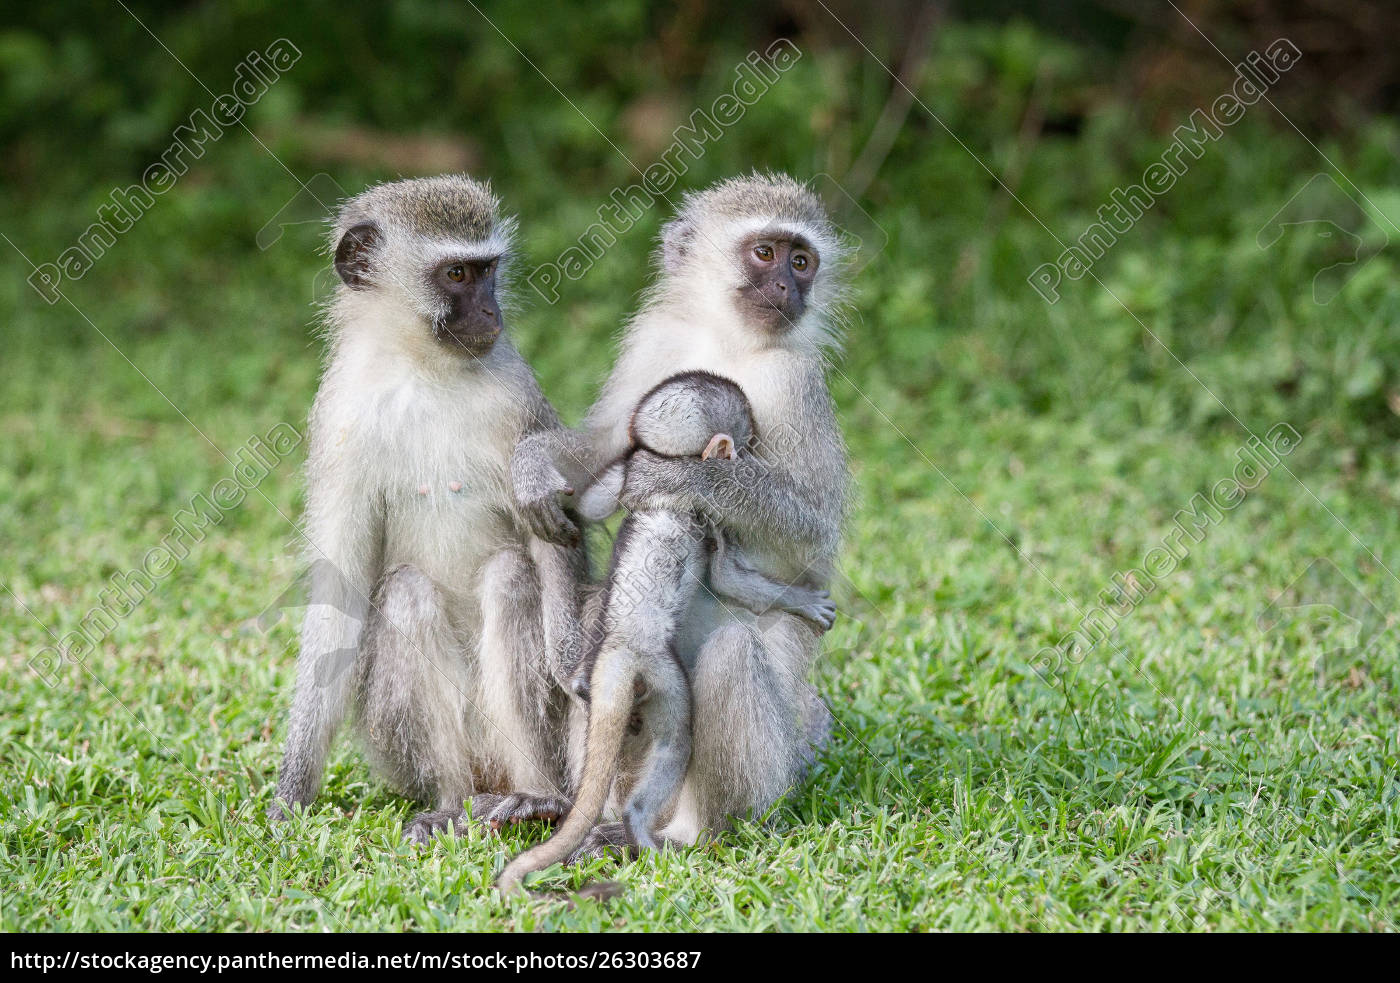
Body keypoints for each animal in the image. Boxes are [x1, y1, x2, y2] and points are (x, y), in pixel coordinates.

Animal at [270, 175, 588, 840]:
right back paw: (450, 803)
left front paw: (572, 660)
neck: (421, 372)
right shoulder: (338, 420)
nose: (493, 314)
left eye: (490, 271)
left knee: (511, 577)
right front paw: (291, 793)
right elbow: (341, 591)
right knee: (404, 594)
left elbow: (551, 535)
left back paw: (540, 797)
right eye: (458, 274)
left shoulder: (517, 398)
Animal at [501, 372, 834, 896]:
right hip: (661, 677)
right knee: (676, 741)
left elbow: (598, 498)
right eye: (746, 443)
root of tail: (619, 658)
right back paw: (642, 825)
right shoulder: (706, 519)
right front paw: (800, 600)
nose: (750, 455)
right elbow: (726, 578)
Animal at [512, 171, 845, 856]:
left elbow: (813, 535)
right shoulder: (656, 341)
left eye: (802, 261)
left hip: (771, 763)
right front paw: (533, 467)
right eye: (765, 254)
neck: (731, 341)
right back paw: (597, 818)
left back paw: (695, 833)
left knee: (731, 655)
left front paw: (682, 476)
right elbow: (603, 448)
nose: (788, 287)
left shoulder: (796, 381)